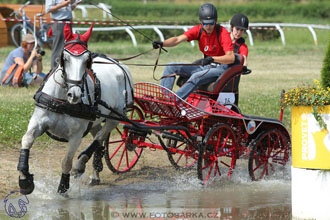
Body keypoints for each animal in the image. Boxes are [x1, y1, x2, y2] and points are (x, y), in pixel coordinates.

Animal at [17, 24, 134, 195]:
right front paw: (24, 180)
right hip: (95, 119)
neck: (62, 101)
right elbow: (26, 140)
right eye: (64, 58)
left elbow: (66, 162)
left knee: (100, 136)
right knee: (98, 139)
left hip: (116, 116)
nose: (75, 94)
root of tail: (118, 63)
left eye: (87, 60)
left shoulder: (76, 135)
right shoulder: (38, 123)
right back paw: (95, 173)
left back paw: (80, 165)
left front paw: (63, 189)